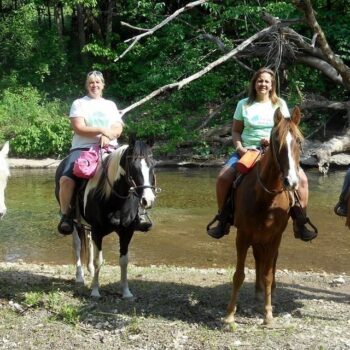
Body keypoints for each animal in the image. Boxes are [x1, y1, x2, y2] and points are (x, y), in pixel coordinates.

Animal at [55, 138, 157, 296]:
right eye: (133, 167)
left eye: (153, 165)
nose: (148, 200)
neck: (114, 199)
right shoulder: (98, 230)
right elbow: (99, 260)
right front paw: (95, 291)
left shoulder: (127, 231)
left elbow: (124, 261)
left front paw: (126, 292)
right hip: (75, 222)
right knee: (77, 245)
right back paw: (79, 276)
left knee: (88, 241)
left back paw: (90, 270)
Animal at [226, 106, 302, 326]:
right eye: (276, 140)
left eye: (299, 141)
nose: (291, 182)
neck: (265, 197)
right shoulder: (243, 235)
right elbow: (239, 275)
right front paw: (230, 314)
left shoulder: (275, 236)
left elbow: (268, 273)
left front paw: (268, 314)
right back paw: (258, 292)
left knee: (270, 263)